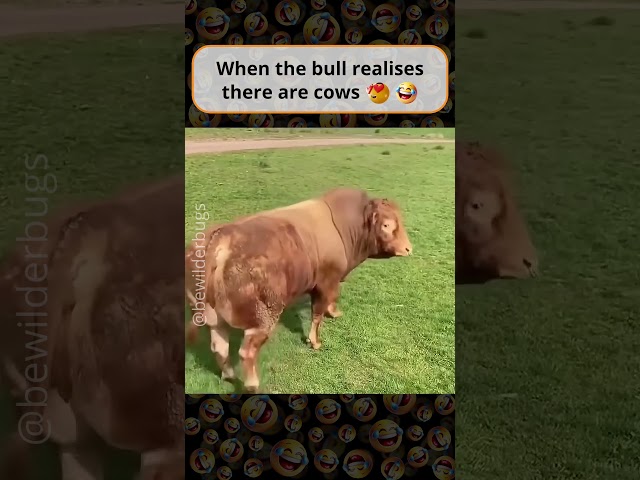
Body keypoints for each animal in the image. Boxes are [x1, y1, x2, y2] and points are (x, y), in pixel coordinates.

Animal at [185, 188, 413, 393]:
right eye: (386, 225)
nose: (408, 249)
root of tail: (220, 237)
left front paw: (334, 312)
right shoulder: (325, 281)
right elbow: (317, 314)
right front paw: (315, 342)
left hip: (214, 318)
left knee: (219, 347)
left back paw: (229, 376)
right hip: (261, 318)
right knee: (246, 352)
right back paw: (252, 386)